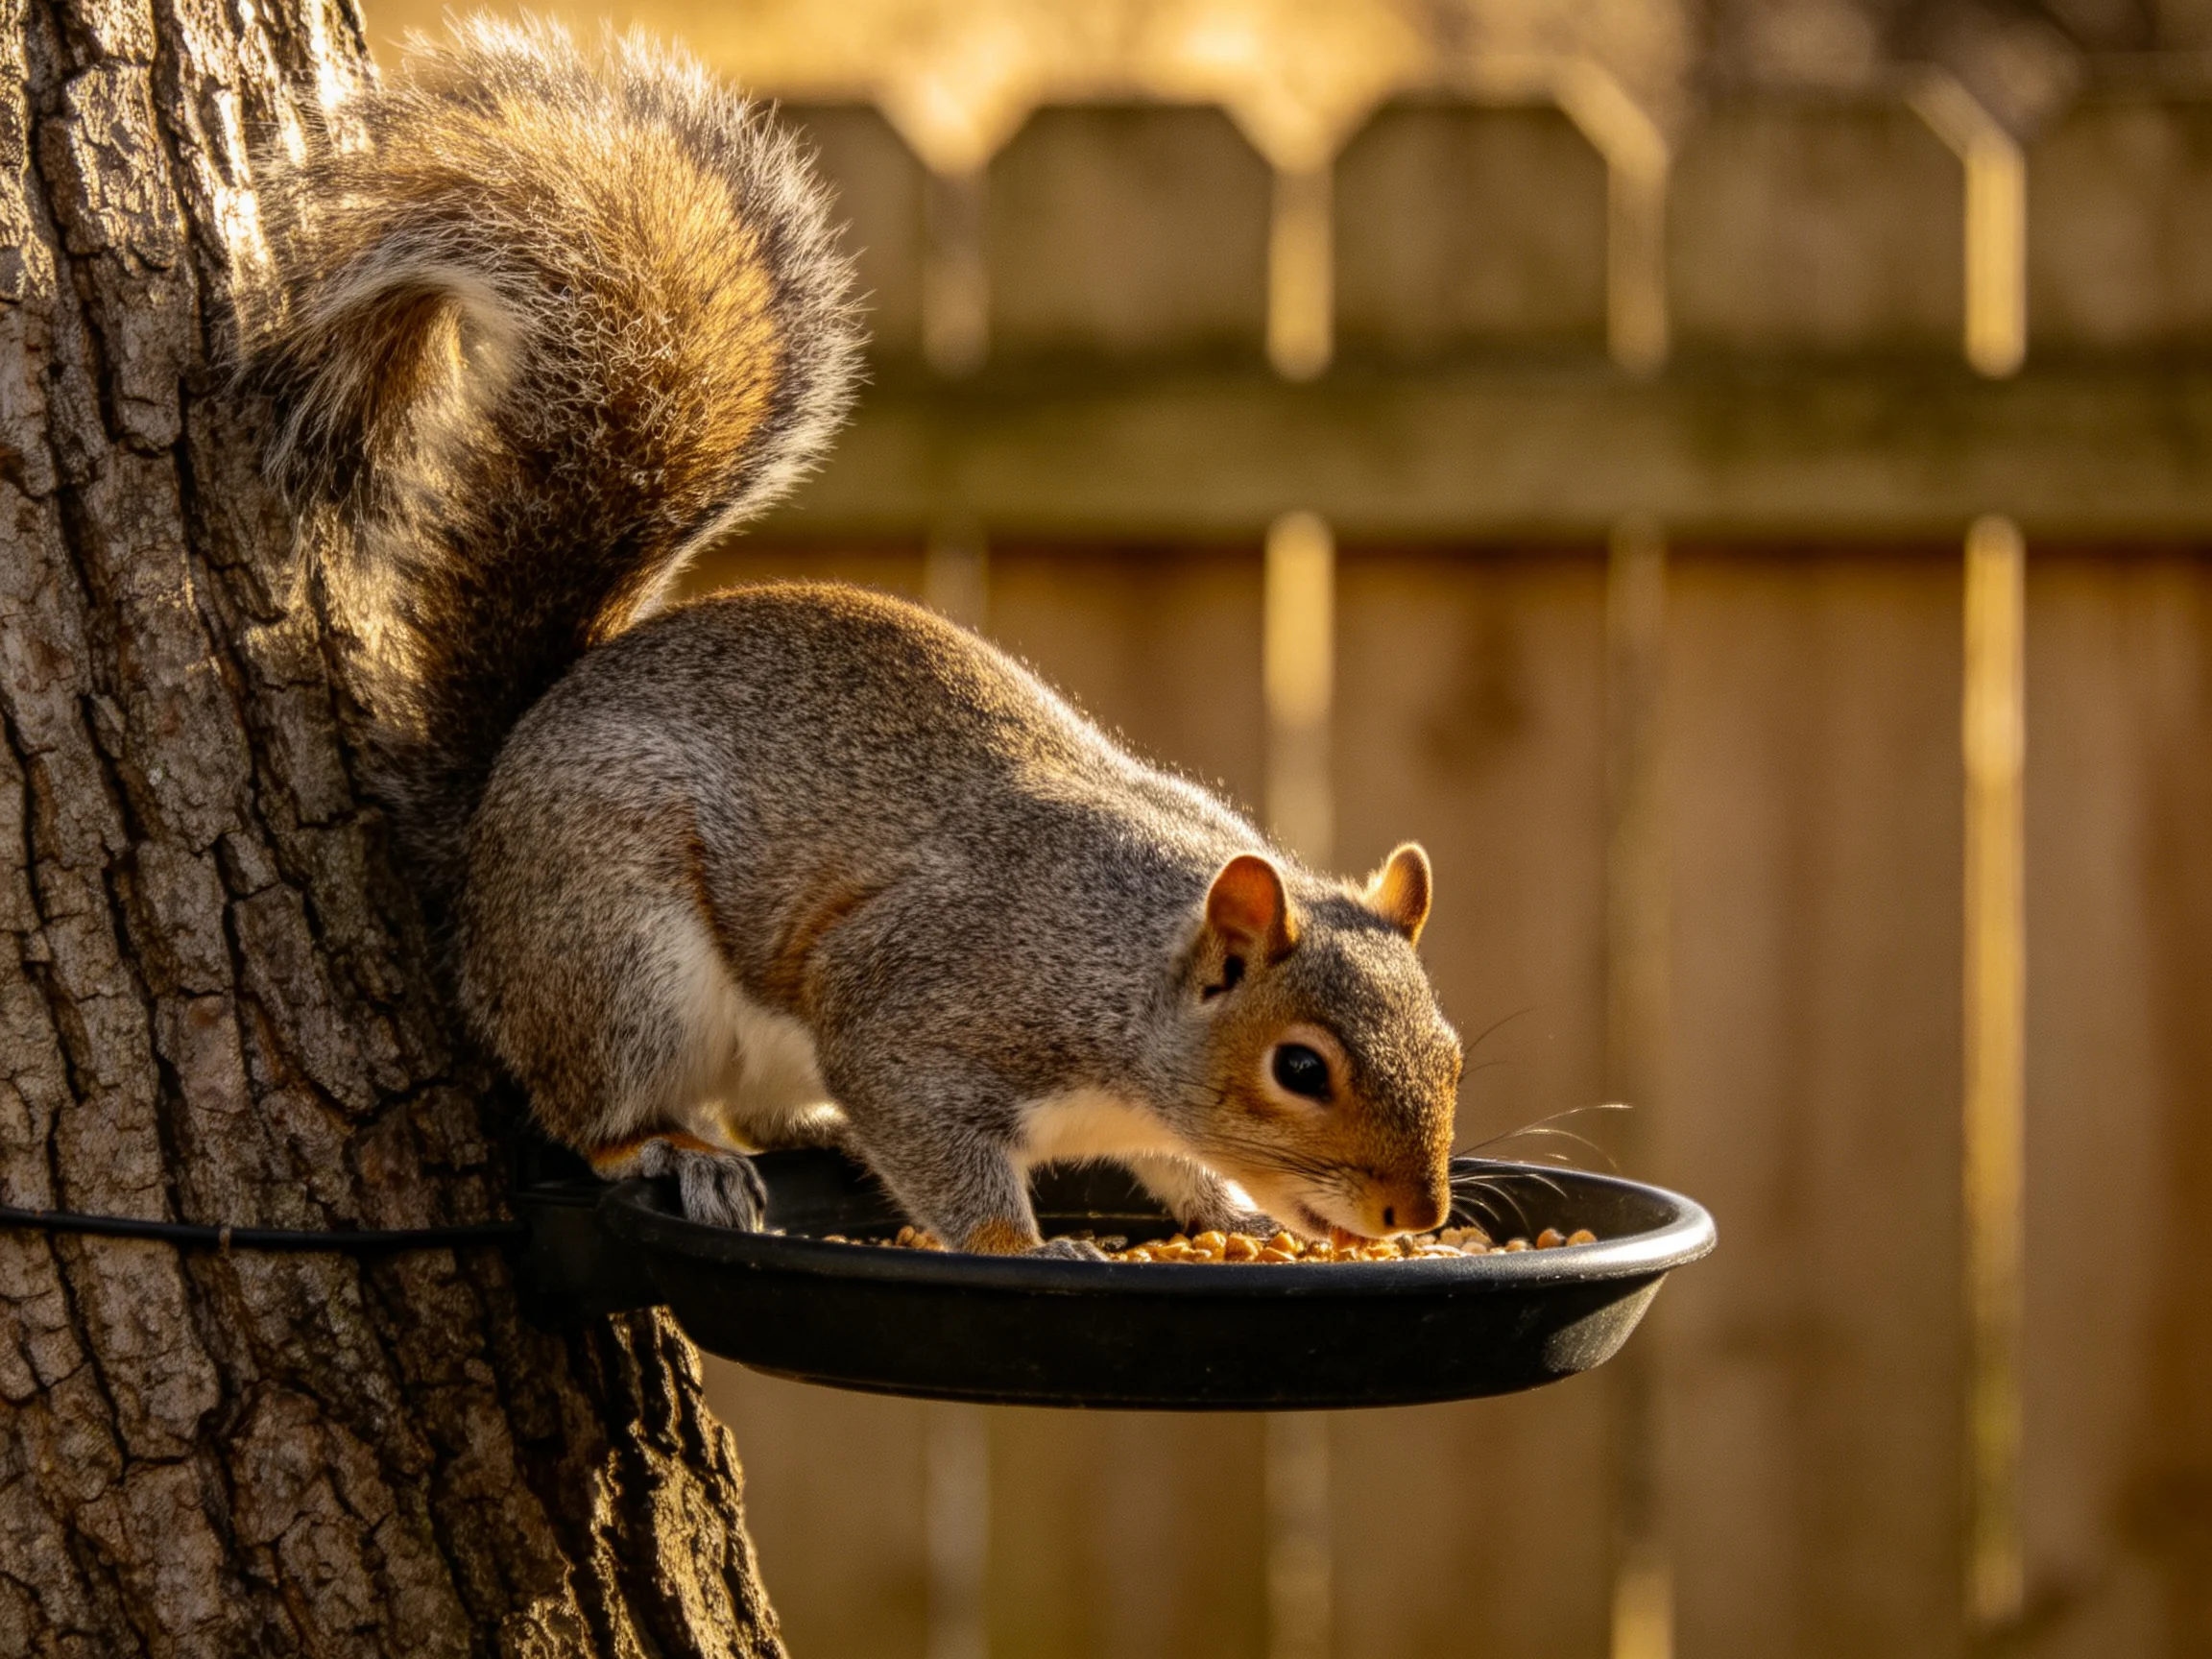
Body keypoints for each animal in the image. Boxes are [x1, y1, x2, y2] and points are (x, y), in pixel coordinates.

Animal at [250, 16, 1464, 1257]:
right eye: (1301, 1067)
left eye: (1451, 1050)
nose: (1417, 1210)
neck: (1128, 976)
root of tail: (487, 820)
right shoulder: (916, 1010)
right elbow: (933, 1134)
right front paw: (1031, 1245)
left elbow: (1167, 1161)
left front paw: (1228, 1209)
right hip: (614, 953)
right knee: (598, 1111)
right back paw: (675, 1151)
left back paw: (815, 1133)